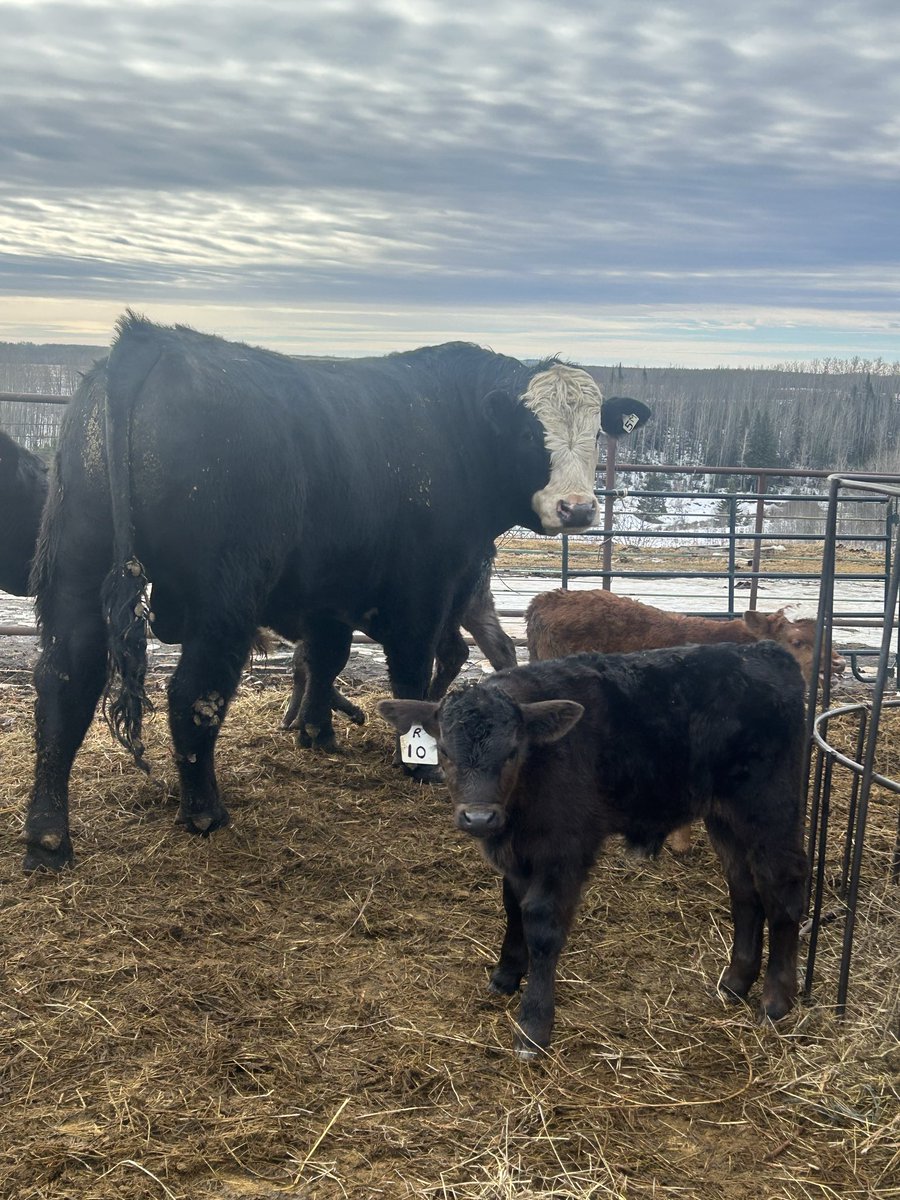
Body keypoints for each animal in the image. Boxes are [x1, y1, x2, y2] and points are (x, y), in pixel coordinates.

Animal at [25, 312, 633, 871]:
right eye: (531, 434)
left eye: (596, 434)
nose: (578, 508)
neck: (453, 431)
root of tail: (147, 341)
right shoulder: (423, 589)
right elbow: (409, 668)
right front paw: (417, 760)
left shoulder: (328, 592)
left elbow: (325, 657)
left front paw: (317, 733)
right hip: (224, 598)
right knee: (195, 695)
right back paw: (204, 812)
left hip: (75, 574)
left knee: (63, 686)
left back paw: (48, 838)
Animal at [379, 641, 808, 1058]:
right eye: (445, 751)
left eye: (513, 750)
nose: (480, 818)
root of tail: (766, 651)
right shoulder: (517, 856)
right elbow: (512, 907)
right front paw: (505, 975)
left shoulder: (564, 850)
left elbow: (542, 925)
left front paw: (533, 1027)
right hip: (724, 818)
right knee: (745, 892)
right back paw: (734, 983)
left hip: (771, 809)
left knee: (782, 892)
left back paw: (775, 1002)